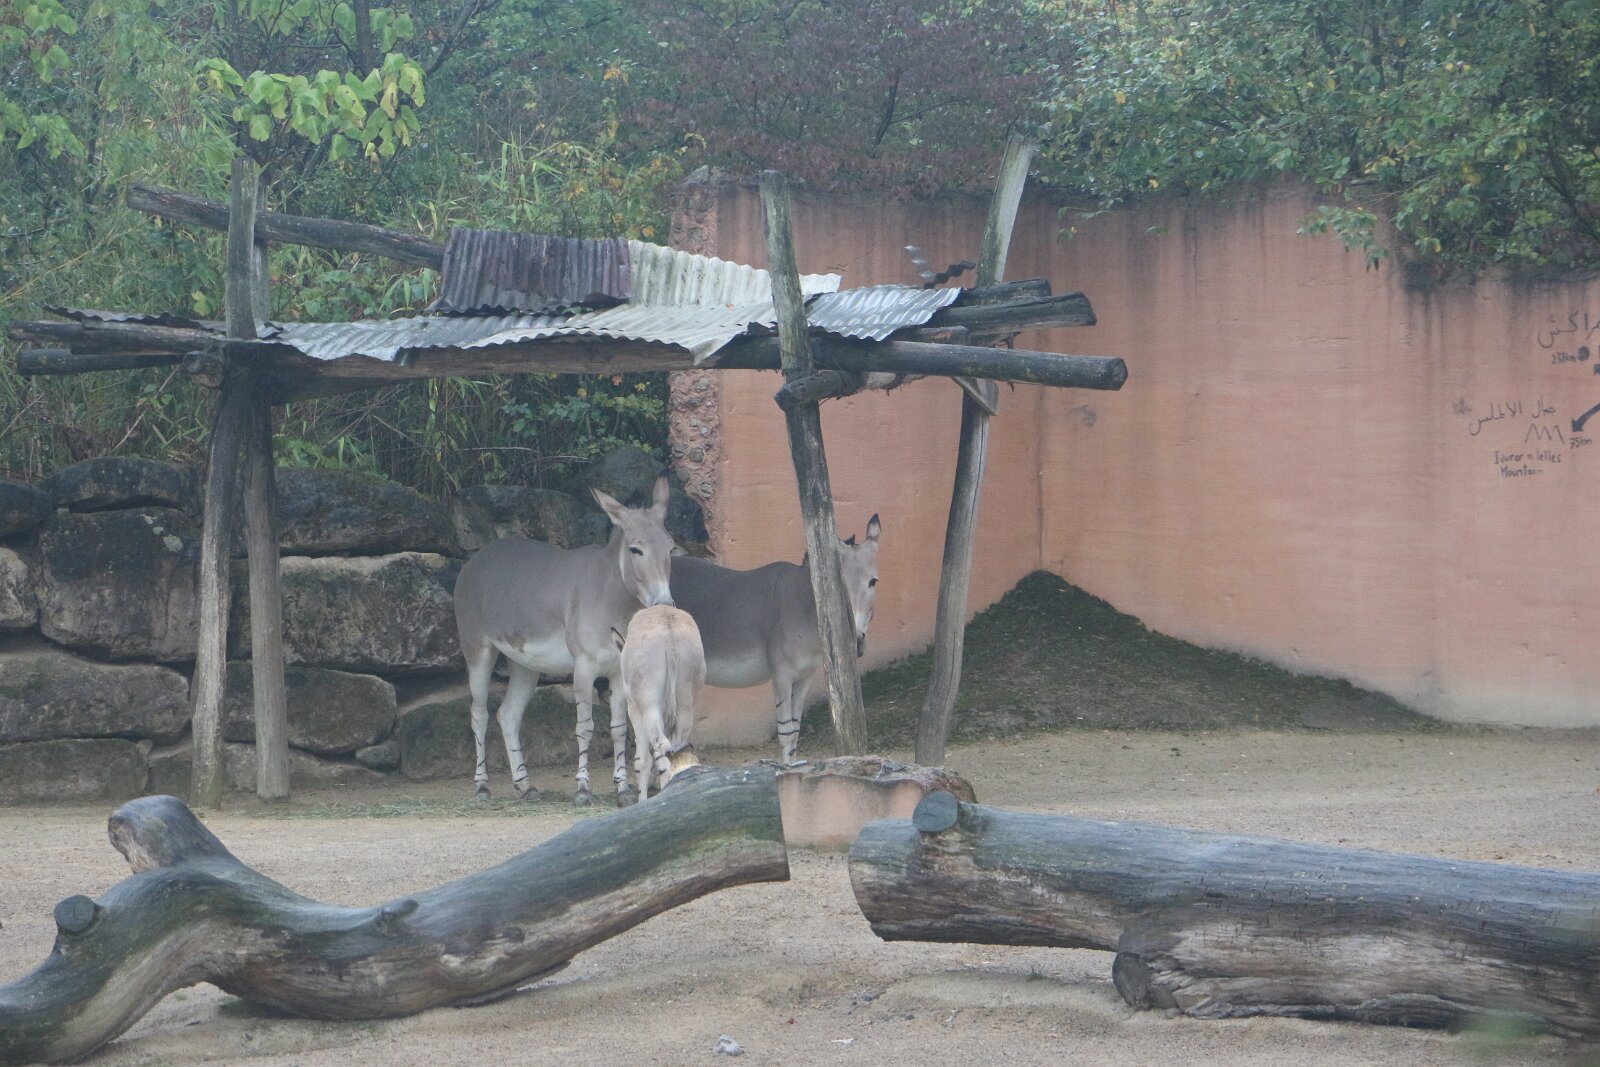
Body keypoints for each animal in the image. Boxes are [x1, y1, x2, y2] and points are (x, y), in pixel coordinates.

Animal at [452, 475, 675, 804]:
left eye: (671, 548)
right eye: (635, 549)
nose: (665, 604)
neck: (609, 596)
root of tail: (476, 558)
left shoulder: (617, 671)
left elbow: (619, 729)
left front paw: (622, 788)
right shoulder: (584, 668)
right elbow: (585, 727)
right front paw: (582, 789)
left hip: (525, 663)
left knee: (508, 715)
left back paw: (525, 785)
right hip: (478, 650)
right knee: (479, 714)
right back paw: (482, 786)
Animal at [612, 605, 705, 800]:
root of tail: (668, 624)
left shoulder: (635, 709)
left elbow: (642, 761)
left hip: (649, 707)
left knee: (661, 748)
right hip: (685, 704)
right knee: (677, 747)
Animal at [668, 514, 880, 761]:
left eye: (873, 581)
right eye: (839, 582)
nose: (856, 642)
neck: (803, 607)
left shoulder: (805, 676)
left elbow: (795, 732)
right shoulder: (781, 675)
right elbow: (786, 733)